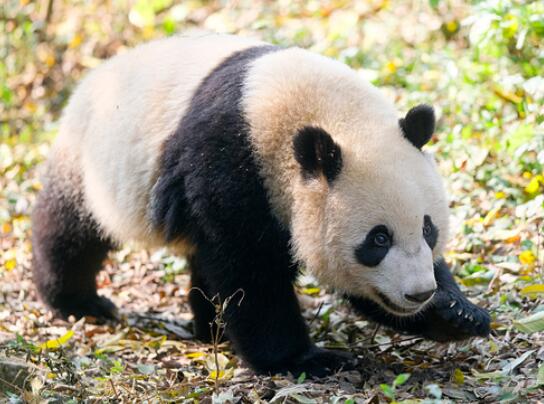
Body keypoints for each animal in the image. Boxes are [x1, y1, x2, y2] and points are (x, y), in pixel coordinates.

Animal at [31, 34, 490, 376]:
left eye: (428, 229)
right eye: (378, 239)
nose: (419, 293)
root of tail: (93, 76)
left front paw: (457, 313)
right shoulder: (232, 163)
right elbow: (249, 271)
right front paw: (306, 359)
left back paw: (208, 329)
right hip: (92, 162)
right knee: (71, 229)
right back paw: (77, 301)